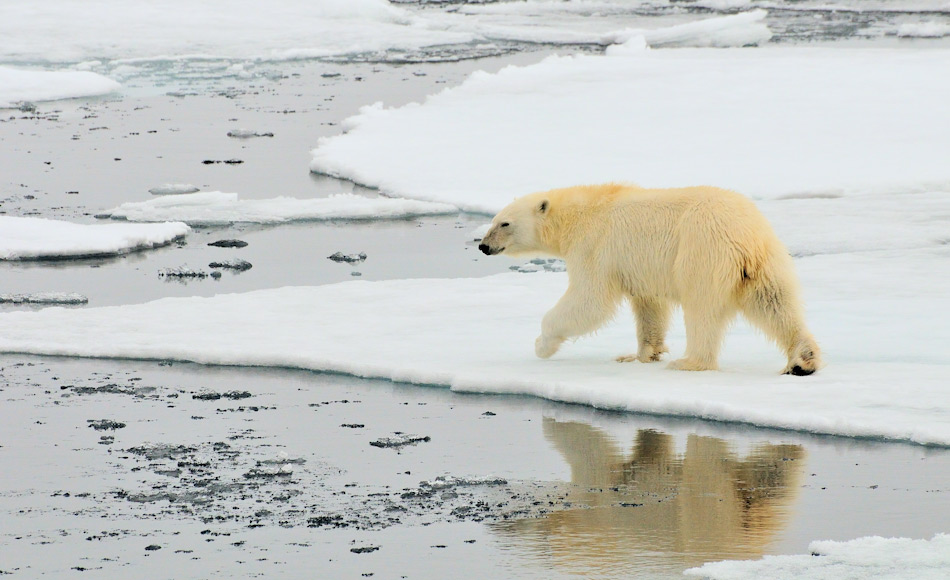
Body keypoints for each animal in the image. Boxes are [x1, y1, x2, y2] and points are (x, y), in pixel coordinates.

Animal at [480, 186, 820, 376]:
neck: (578, 213)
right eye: (493, 220)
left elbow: (589, 300)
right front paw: (641, 354)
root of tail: (745, 235)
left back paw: (689, 362)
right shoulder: (638, 267)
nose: (483, 246)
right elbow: (649, 305)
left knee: (702, 309)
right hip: (765, 260)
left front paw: (542, 344)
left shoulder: (594, 246)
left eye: (504, 223)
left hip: (702, 251)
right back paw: (802, 361)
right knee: (775, 303)